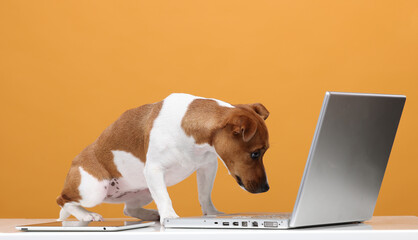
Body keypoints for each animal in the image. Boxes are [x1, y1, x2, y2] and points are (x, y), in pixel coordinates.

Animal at [56, 93, 272, 224]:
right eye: (255, 153)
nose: (266, 188)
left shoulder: (207, 167)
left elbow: (204, 195)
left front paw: (211, 213)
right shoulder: (154, 170)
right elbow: (165, 197)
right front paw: (170, 217)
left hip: (144, 191)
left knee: (129, 209)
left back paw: (151, 214)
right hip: (94, 189)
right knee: (64, 200)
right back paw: (87, 215)